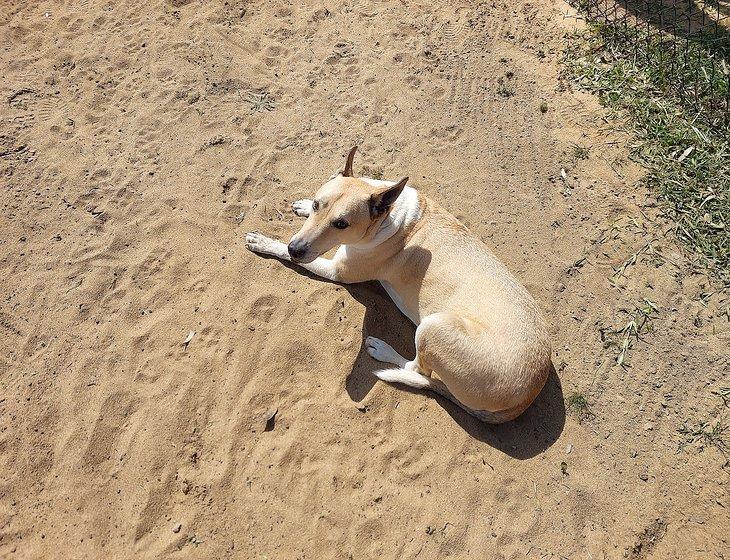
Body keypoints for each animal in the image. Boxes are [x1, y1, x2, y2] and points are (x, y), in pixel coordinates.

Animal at [247, 147, 548, 422]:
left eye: (341, 224)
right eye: (317, 205)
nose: (296, 248)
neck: (389, 216)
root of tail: (525, 397)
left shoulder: (338, 270)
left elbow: (288, 255)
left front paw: (265, 243)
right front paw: (301, 205)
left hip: (433, 327)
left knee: (417, 370)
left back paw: (383, 350)